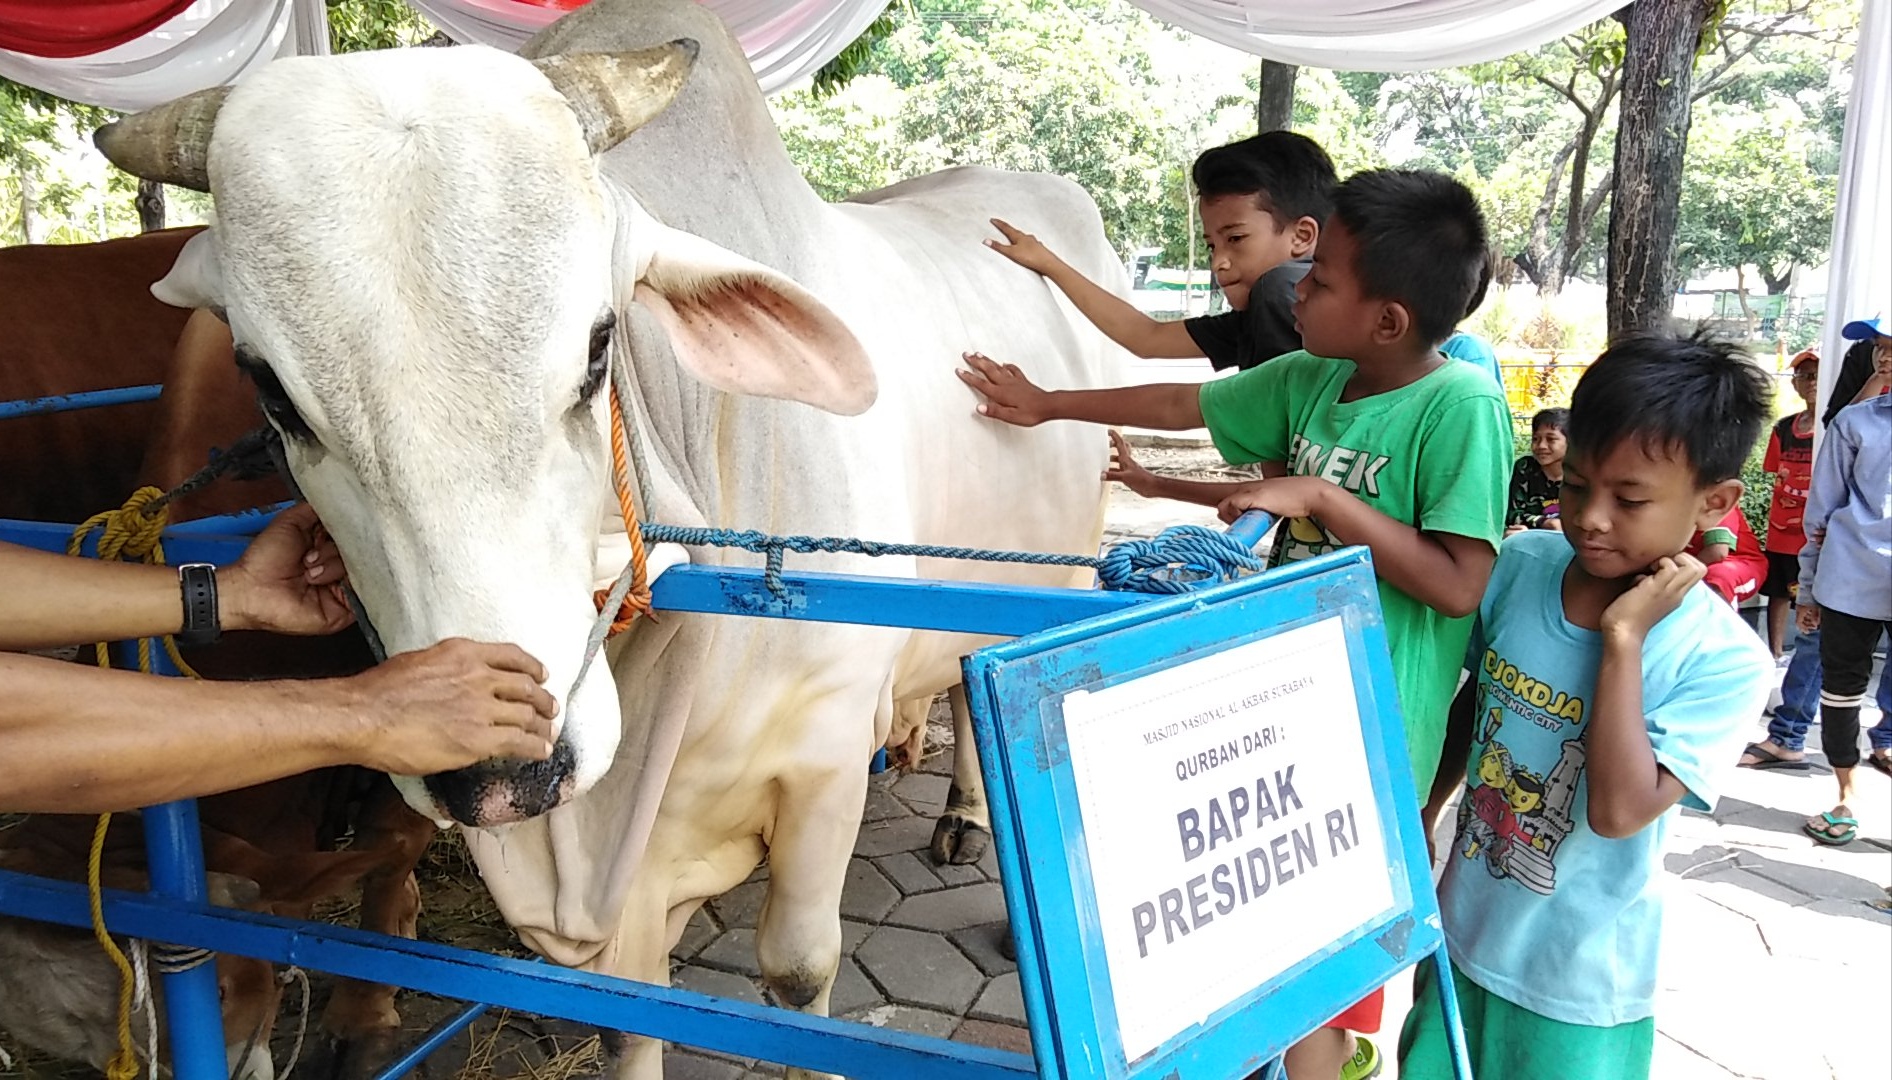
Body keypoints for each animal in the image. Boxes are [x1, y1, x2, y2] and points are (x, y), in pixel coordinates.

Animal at [99, 0, 1120, 1074]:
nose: (501, 772)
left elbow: (799, 977)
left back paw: (963, 814)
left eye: (599, 346)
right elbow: (633, 1006)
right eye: (271, 390)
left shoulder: (827, 756)